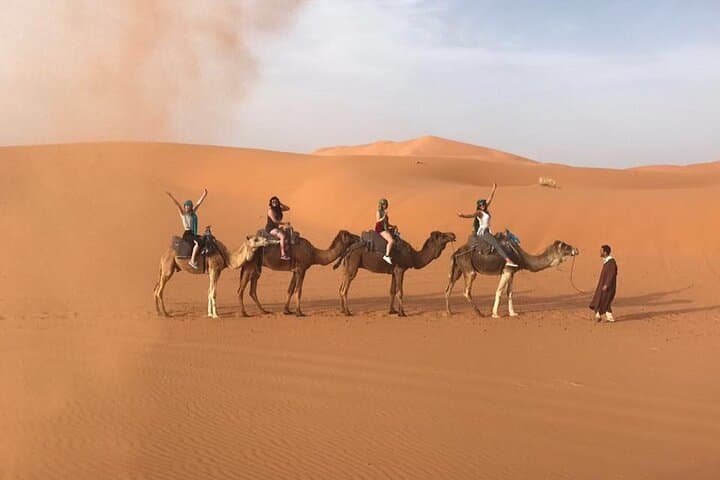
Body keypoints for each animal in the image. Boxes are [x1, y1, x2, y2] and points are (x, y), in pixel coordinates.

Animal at [444, 237, 579, 317]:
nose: (576, 250)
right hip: (468, 268)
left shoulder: (512, 272)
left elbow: (510, 292)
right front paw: (495, 314)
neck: (522, 257)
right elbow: (499, 291)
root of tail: (456, 252)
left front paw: (513, 313)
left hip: (458, 268)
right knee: (466, 290)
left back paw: (449, 312)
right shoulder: (507, 270)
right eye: (566, 247)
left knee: (448, 288)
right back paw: (479, 313)